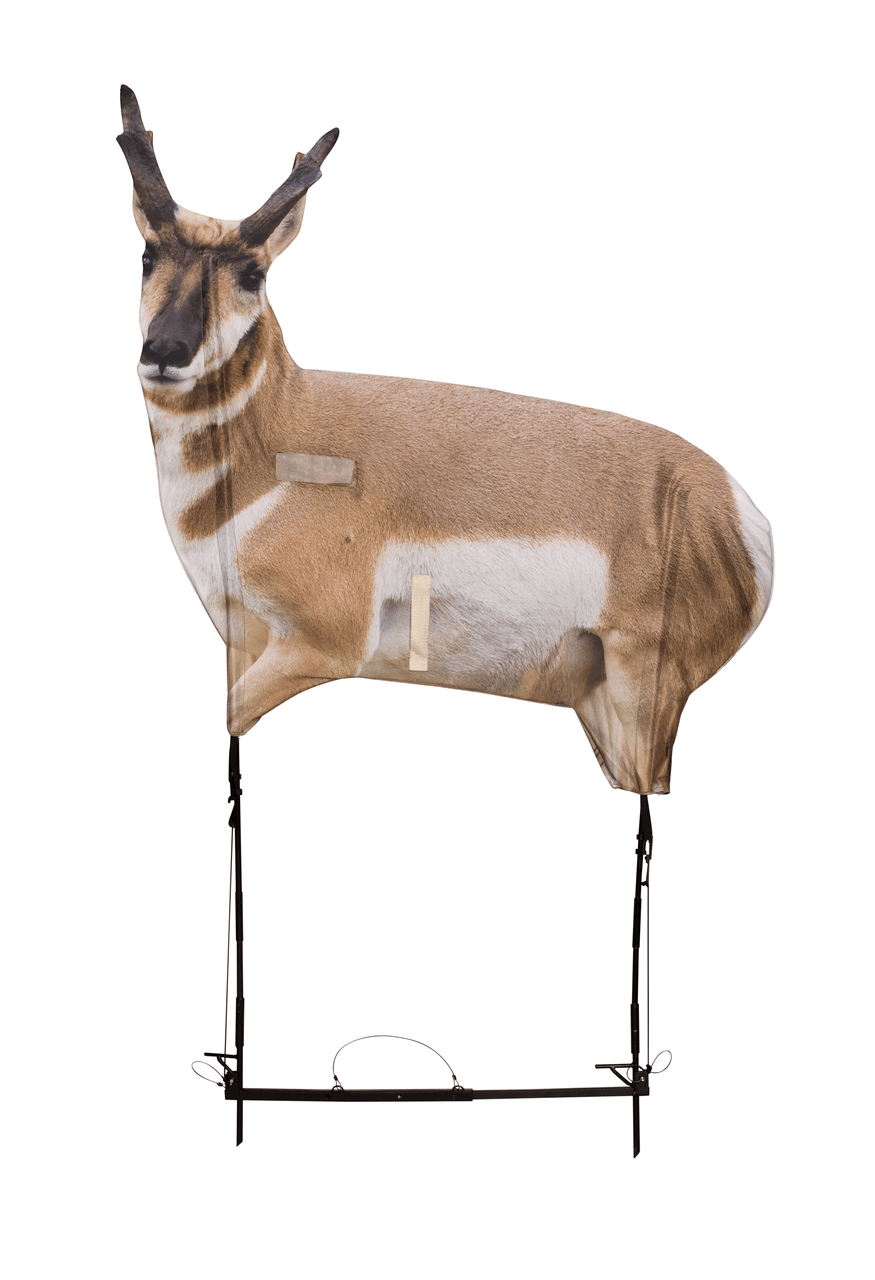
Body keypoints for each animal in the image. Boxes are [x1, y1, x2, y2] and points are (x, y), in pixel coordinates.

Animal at [118, 86, 772, 795]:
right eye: (147, 255)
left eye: (252, 274)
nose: (165, 351)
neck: (287, 435)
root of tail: (736, 508)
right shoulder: (243, 641)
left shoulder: (318, 646)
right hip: (599, 705)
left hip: (641, 692)